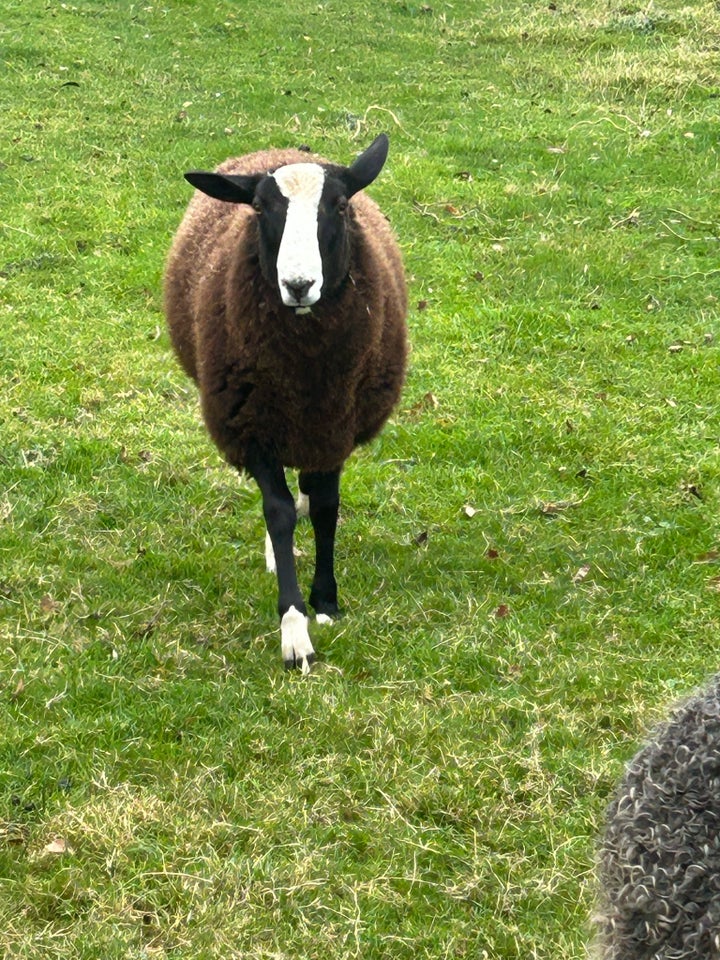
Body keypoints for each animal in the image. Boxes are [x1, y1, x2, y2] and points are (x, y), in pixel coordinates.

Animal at [165, 135, 408, 676]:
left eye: (339, 205)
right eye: (259, 208)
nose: (298, 285)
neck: (304, 372)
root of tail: (275, 149)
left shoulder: (334, 426)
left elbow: (325, 507)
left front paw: (326, 600)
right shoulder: (253, 427)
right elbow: (276, 512)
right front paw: (294, 628)